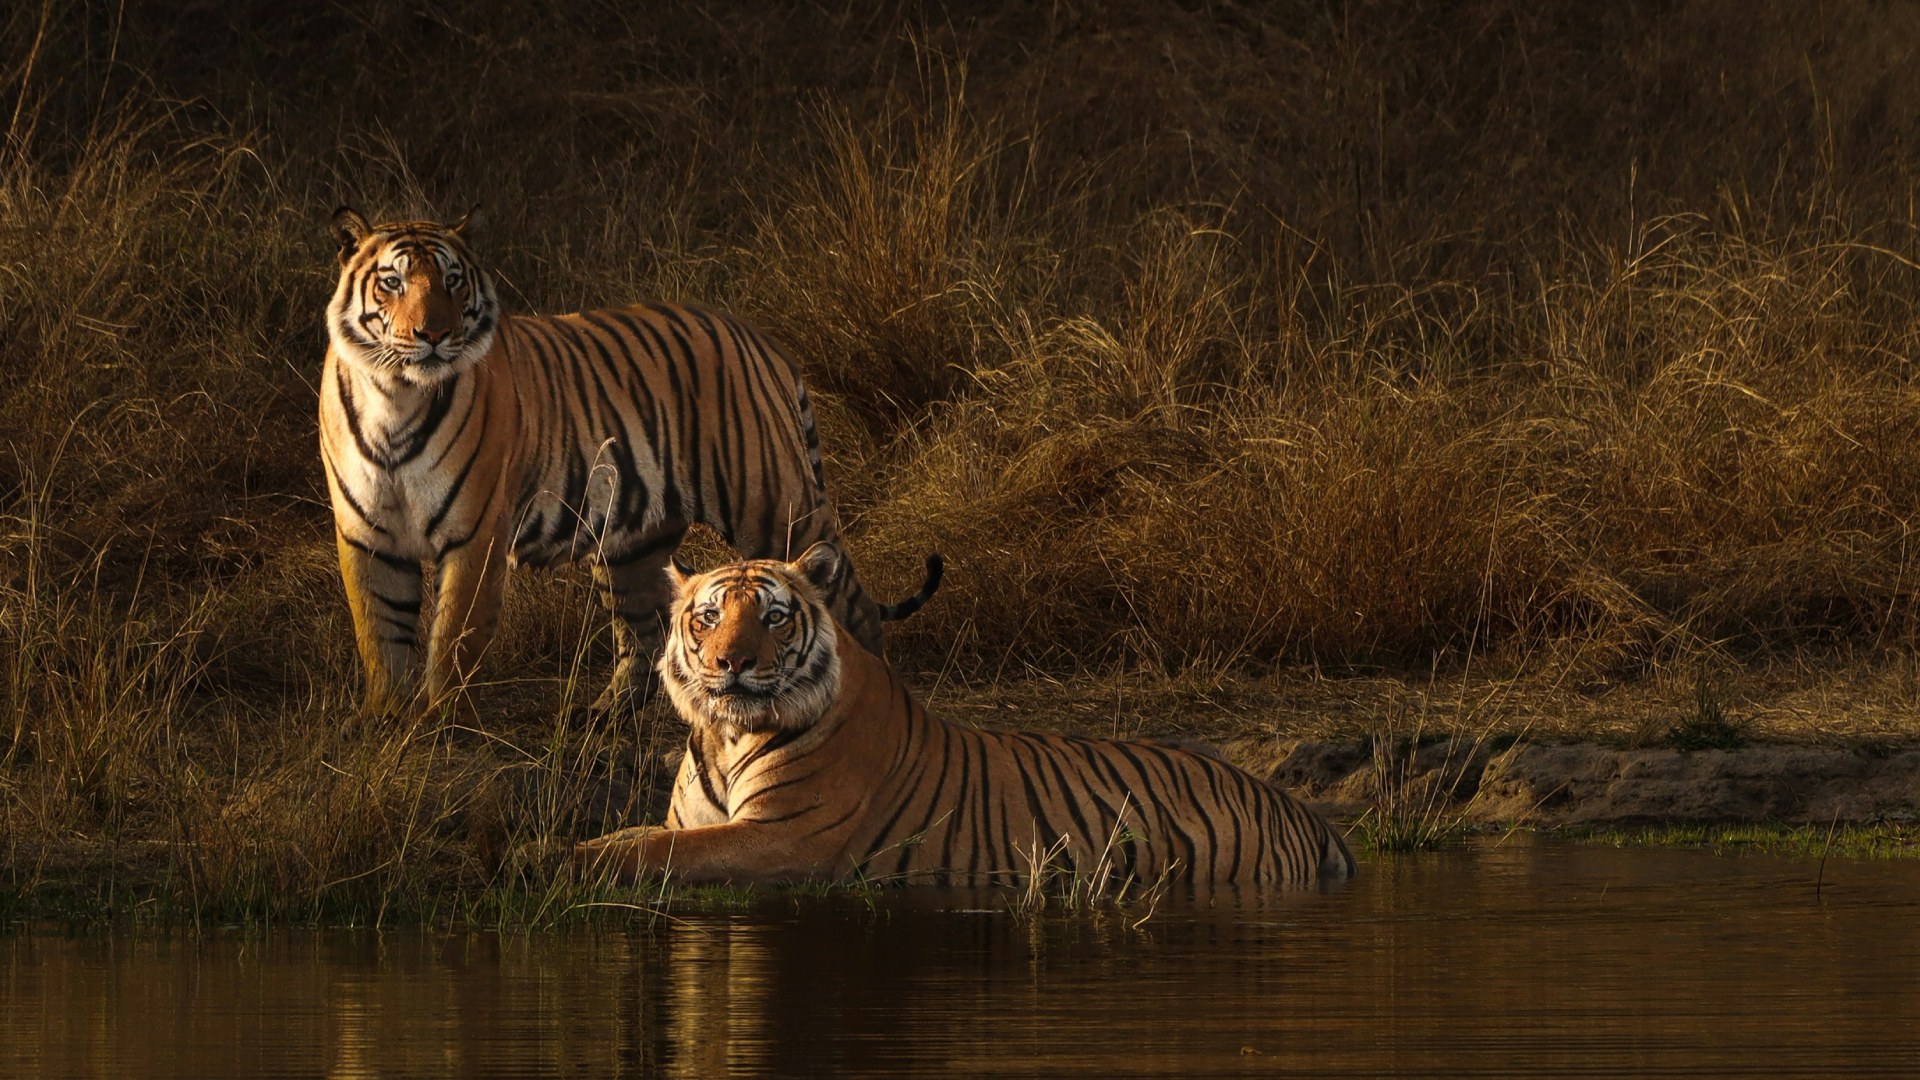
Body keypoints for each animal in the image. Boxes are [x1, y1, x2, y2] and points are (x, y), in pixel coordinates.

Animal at [319, 207, 940, 719]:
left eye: (452, 280)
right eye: (393, 281)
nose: (433, 334)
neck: (396, 397)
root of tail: (761, 339)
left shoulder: (474, 535)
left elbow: (452, 637)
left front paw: (439, 720)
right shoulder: (366, 535)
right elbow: (379, 632)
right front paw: (386, 720)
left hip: (776, 507)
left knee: (850, 607)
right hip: (631, 541)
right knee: (645, 632)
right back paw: (606, 714)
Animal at [571, 545, 1357, 888]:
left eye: (772, 617)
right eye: (707, 618)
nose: (730, 662)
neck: (727, 734)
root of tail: (1300, 808)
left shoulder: (783, 839)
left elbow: (650, 853)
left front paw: (550, 859)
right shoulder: (701, 822)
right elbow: (636, 838)